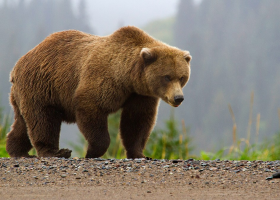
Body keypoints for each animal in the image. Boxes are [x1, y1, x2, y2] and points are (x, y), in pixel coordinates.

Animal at [6, 25, 191, 159]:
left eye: (182, 77)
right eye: (167, 77)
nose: (178, 98)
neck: (128, 78)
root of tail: (17, 66)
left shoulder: (140, 94)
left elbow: (137, 121)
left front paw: (140, 154)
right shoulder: (103, 79)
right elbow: (91, 107)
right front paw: (91, 152)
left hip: (25, 94)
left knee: (23, 123)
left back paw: (17, 150)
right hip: (42, 86)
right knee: (43, 120)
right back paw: (55, 152)